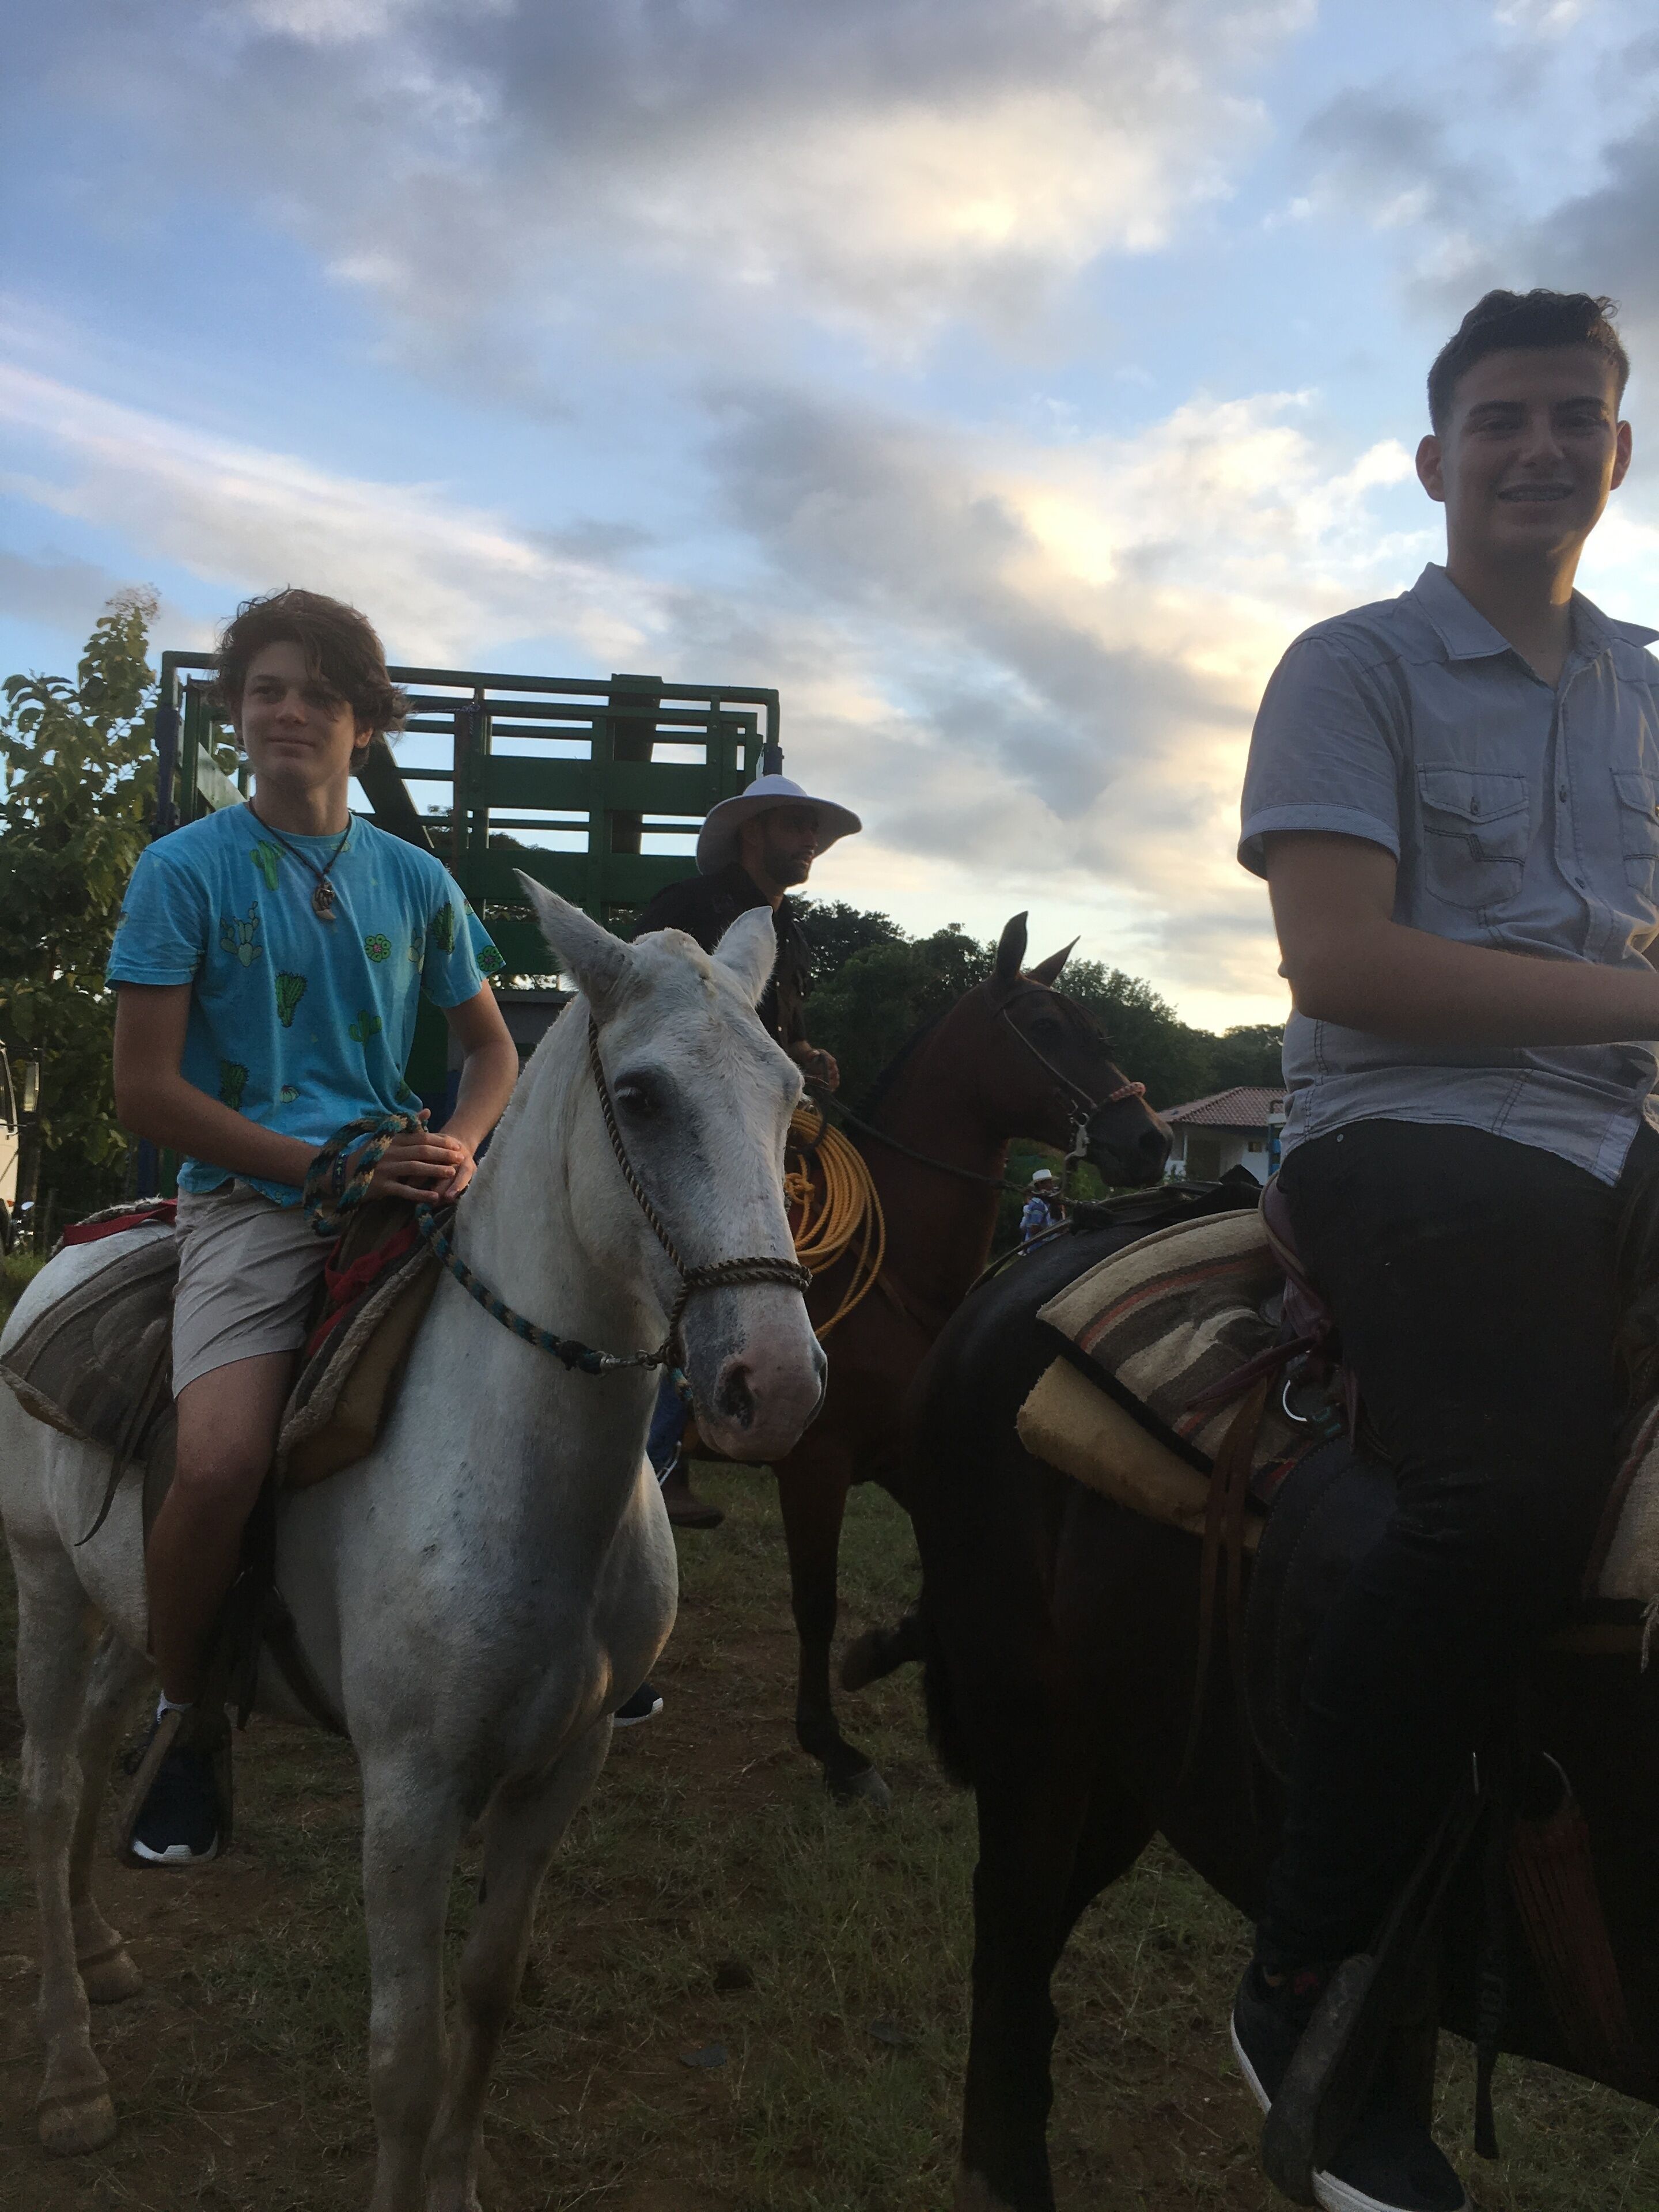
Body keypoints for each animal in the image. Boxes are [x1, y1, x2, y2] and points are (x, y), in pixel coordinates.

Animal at [0, 884, 825, 2212]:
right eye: (643, 1097)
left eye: (790, 1092)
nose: (779, 1384)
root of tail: (78, 1242)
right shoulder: (410, 1792)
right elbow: (406, 2053)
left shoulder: (566, 1766)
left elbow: (486, 2000)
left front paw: (459, 2184)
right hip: (41, 1582)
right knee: (49, 1787)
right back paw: (72, 2071)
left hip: (133, 1605)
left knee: (97, 1751)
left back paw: (106, 1948)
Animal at [764, 911, 1170, 1805]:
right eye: (1047, 1028)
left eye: (1100, 1029)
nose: (1153, 1141)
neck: (889, 1276)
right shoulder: (815, 1462)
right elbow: (815, 1602)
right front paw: (832, 1748)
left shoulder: (911, 1458)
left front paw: (876, 1655)